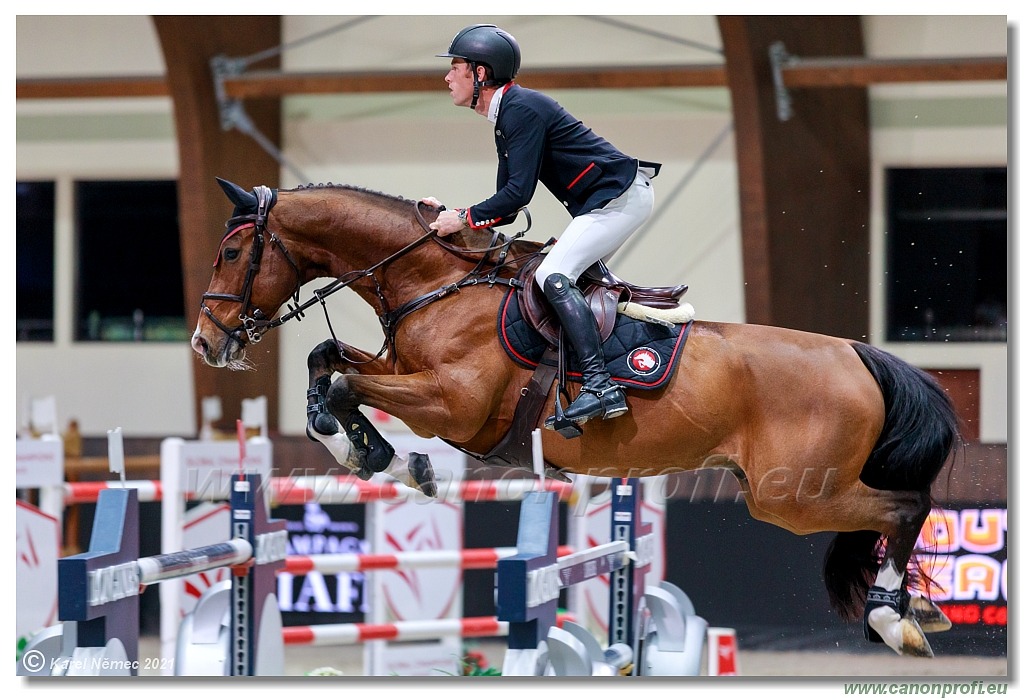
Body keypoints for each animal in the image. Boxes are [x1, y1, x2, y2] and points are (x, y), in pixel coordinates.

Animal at [192, 178, 958, 659]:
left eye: (231, 252)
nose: (205, 342)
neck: (437, 283)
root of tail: (857, 354)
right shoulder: (408, 374)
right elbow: (328, 360)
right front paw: (374, 454)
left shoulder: (453, 404)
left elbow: (348, 380)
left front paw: (385, 456)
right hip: (795, 491)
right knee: (892, 512)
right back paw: (912, 610)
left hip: (794, 494)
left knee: (903, 506)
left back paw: (895, 617)